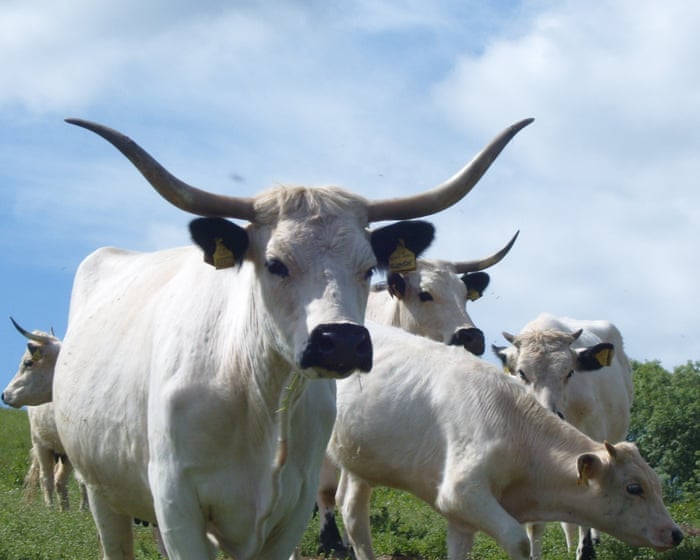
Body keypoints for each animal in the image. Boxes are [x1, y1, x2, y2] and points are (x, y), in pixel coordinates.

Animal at [2, 318, 88, 511]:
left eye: (28, 363)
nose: (4, 394)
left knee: (59, 480)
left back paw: (66, 512)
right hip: (40, 443)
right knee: (46, 478)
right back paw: (51, 510)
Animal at [51, 117, 532, 560]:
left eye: (367, 268)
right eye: (275, 263)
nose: (341, 340)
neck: (257, 390)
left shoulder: (290, 508)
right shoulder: (177, 507)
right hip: (103, 491)